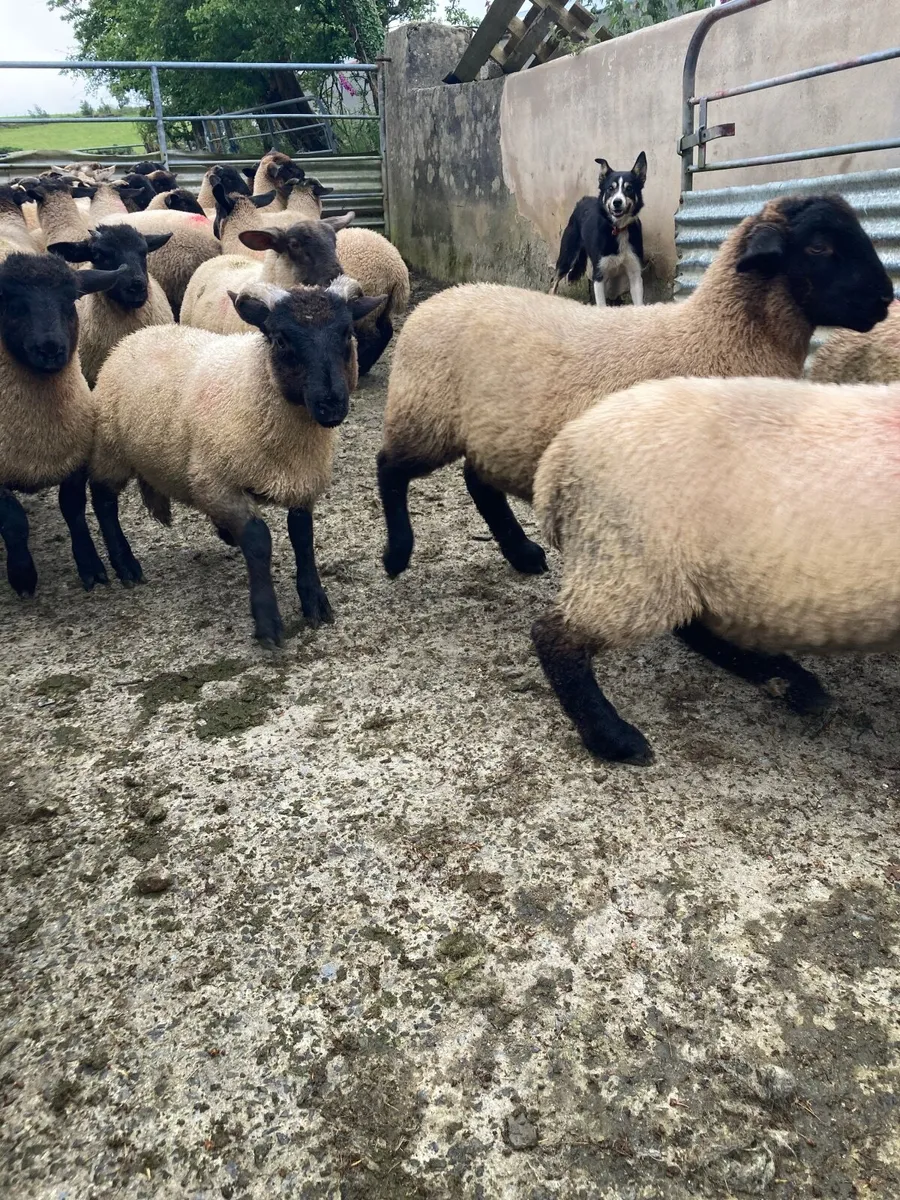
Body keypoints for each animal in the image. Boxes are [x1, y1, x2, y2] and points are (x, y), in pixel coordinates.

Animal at [0, 252, 126, 595]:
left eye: (70, 301)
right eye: (12, 303)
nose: (50, 349)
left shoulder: (76, 453)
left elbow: (73, 507)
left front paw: (91, 565)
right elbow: (14, 521)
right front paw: (23, 575)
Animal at [89, 279, 387, 644]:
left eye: (347, 333)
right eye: (280, 339)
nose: (331, 404)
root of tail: (138, 335)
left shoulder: (300, 481)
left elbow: (302, 537)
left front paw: (314, 600)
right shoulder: (219, 481)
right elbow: (259, 541)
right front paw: (267, 620)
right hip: (111, 449)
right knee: (103, 501)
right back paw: (125, 564)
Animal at [377, 194, 893, 579]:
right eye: (820, 247)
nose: (887, 297)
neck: (716, 336)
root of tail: (435, 302)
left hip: (492, 432)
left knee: (478, 483)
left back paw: (523, 554)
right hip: (425, 414)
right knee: (389, 467)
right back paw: (397, 554)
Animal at [530, 373, 900, 764]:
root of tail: (564, 450)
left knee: (697, 625)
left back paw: (788, 680)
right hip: (632, 558)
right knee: (556, 637)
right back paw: (615, 738)